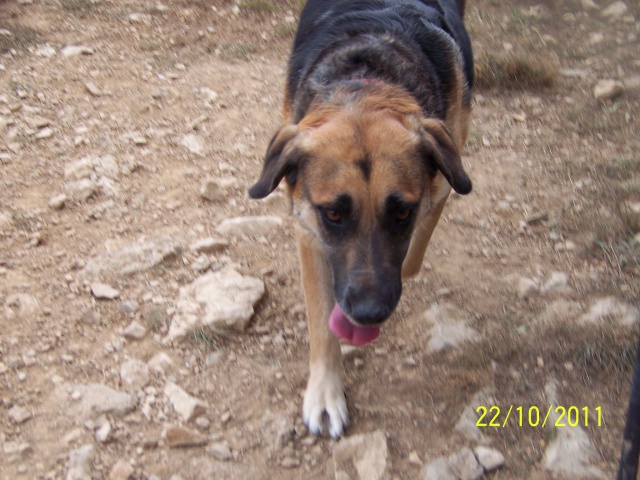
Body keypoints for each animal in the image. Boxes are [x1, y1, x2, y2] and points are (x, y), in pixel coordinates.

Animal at [248, 0, 472, 436]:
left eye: (402, 211)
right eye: (333, 213)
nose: (368, 313)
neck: (365, 86)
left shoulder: (441, 187)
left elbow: (411, 257)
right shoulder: (307, 230)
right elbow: (321, 319)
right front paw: (325, 393)